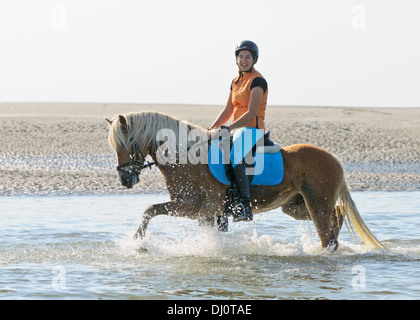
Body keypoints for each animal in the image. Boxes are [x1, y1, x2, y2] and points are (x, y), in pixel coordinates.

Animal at [106, 111, 386, 251]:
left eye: (126, 143)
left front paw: (138, 241)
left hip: (317, 204)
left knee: (327, 232)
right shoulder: (204, 213)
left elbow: (149, 210)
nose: (125, 180)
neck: (187, 157)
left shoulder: (194, 206)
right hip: (296, 206)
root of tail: (334, 159)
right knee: (336, 217)